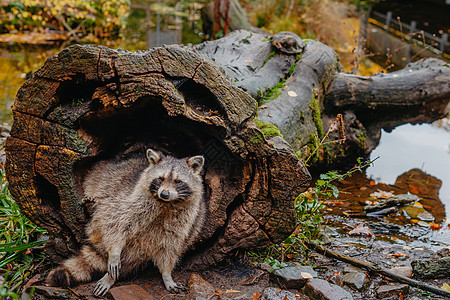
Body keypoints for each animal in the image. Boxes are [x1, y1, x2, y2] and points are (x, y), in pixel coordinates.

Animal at [46, 148, 206, 296]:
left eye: (178, 181)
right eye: (160, 178)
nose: (164, 194)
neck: (166, 204)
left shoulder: (185, 222)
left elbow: (170, 248)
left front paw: (166, 274)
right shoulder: (126, 200)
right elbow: (115, 222)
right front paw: (115, 253)